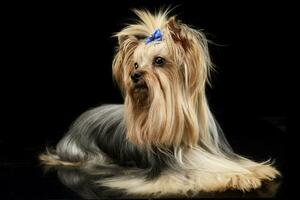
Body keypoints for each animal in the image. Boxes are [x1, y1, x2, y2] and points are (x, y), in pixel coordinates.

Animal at [39, 9, 278, 197]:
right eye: (135, 64)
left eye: (159, 61)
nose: (134, 75)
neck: (187, 139)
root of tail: (79, 121)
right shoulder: (169, 172)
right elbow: (196, 174)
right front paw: (236, 177)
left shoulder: (216, 152)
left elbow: (235, 163)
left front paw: (255, 170)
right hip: (88, 155)